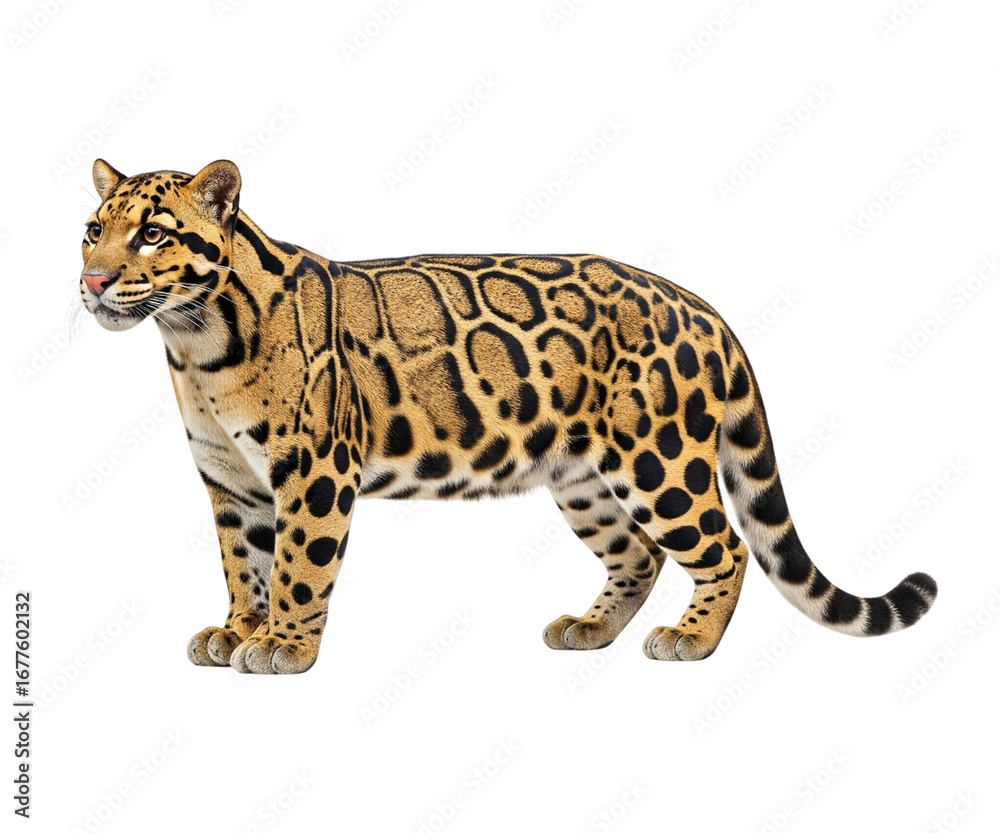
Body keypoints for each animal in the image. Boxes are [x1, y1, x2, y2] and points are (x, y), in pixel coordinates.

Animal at [78, 158, 937, 674]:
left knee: (723, 547)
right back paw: (589, 628)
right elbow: (244, 563)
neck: (195, 341)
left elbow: (297, 565)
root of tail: (705, 310)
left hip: (658, 460)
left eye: (151, 234)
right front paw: (238, 629)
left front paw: (281, 645)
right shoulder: (232, 481)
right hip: (583, 476)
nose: (92, 280)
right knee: (639, 554)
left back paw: (690, 638)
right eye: (93, 230)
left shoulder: (312, 469)